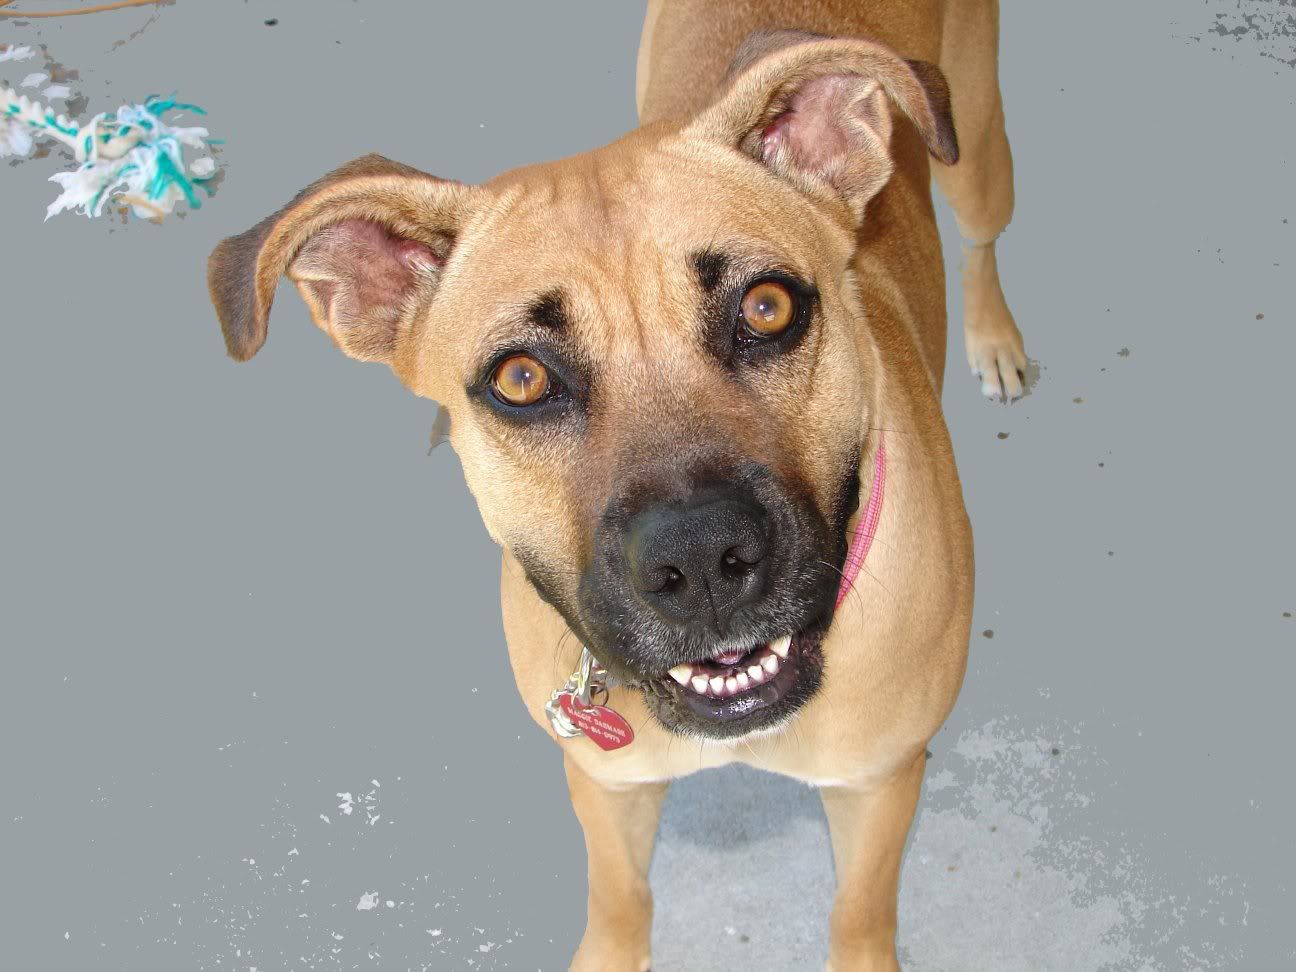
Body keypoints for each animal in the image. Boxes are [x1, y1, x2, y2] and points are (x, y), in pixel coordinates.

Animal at [208, 1, 1025, 967]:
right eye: (521, 379)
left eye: (768, 308)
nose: (703, 560)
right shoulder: (607, 783)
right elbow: (620, 900)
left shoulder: (879, 785)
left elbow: (858, 917)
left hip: (976, 149)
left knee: (981, 237)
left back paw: (995, 336)